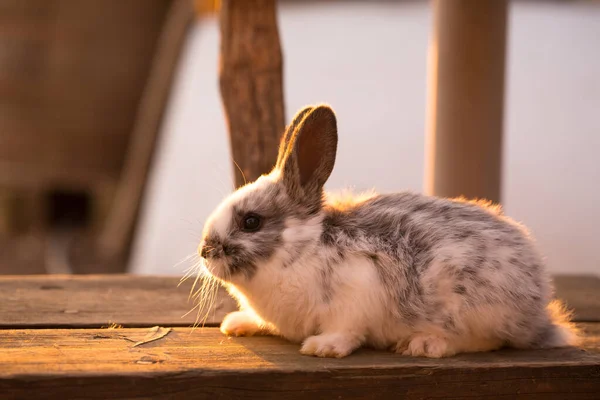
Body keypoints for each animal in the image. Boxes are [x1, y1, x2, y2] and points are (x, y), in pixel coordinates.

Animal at [198, 104, 580, 358]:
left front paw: (323, 347)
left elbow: (346, 331)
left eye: (251, 222)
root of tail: (538, 309)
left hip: (475, 311)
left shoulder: (356, 295)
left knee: (484, 342)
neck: (301, 252)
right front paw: (237, 323)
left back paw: (424, 344)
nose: (205, 251)